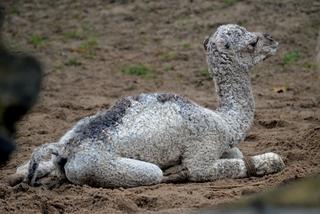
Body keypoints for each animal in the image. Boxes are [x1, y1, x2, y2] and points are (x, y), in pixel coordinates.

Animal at [12, 24, 284, 187]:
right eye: (251, 43)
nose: (273, 40)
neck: (226, 122)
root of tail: (67, 147)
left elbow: (236, 153)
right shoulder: (203, 147)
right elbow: (207, 169)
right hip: (98, 166)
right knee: (154, 173)